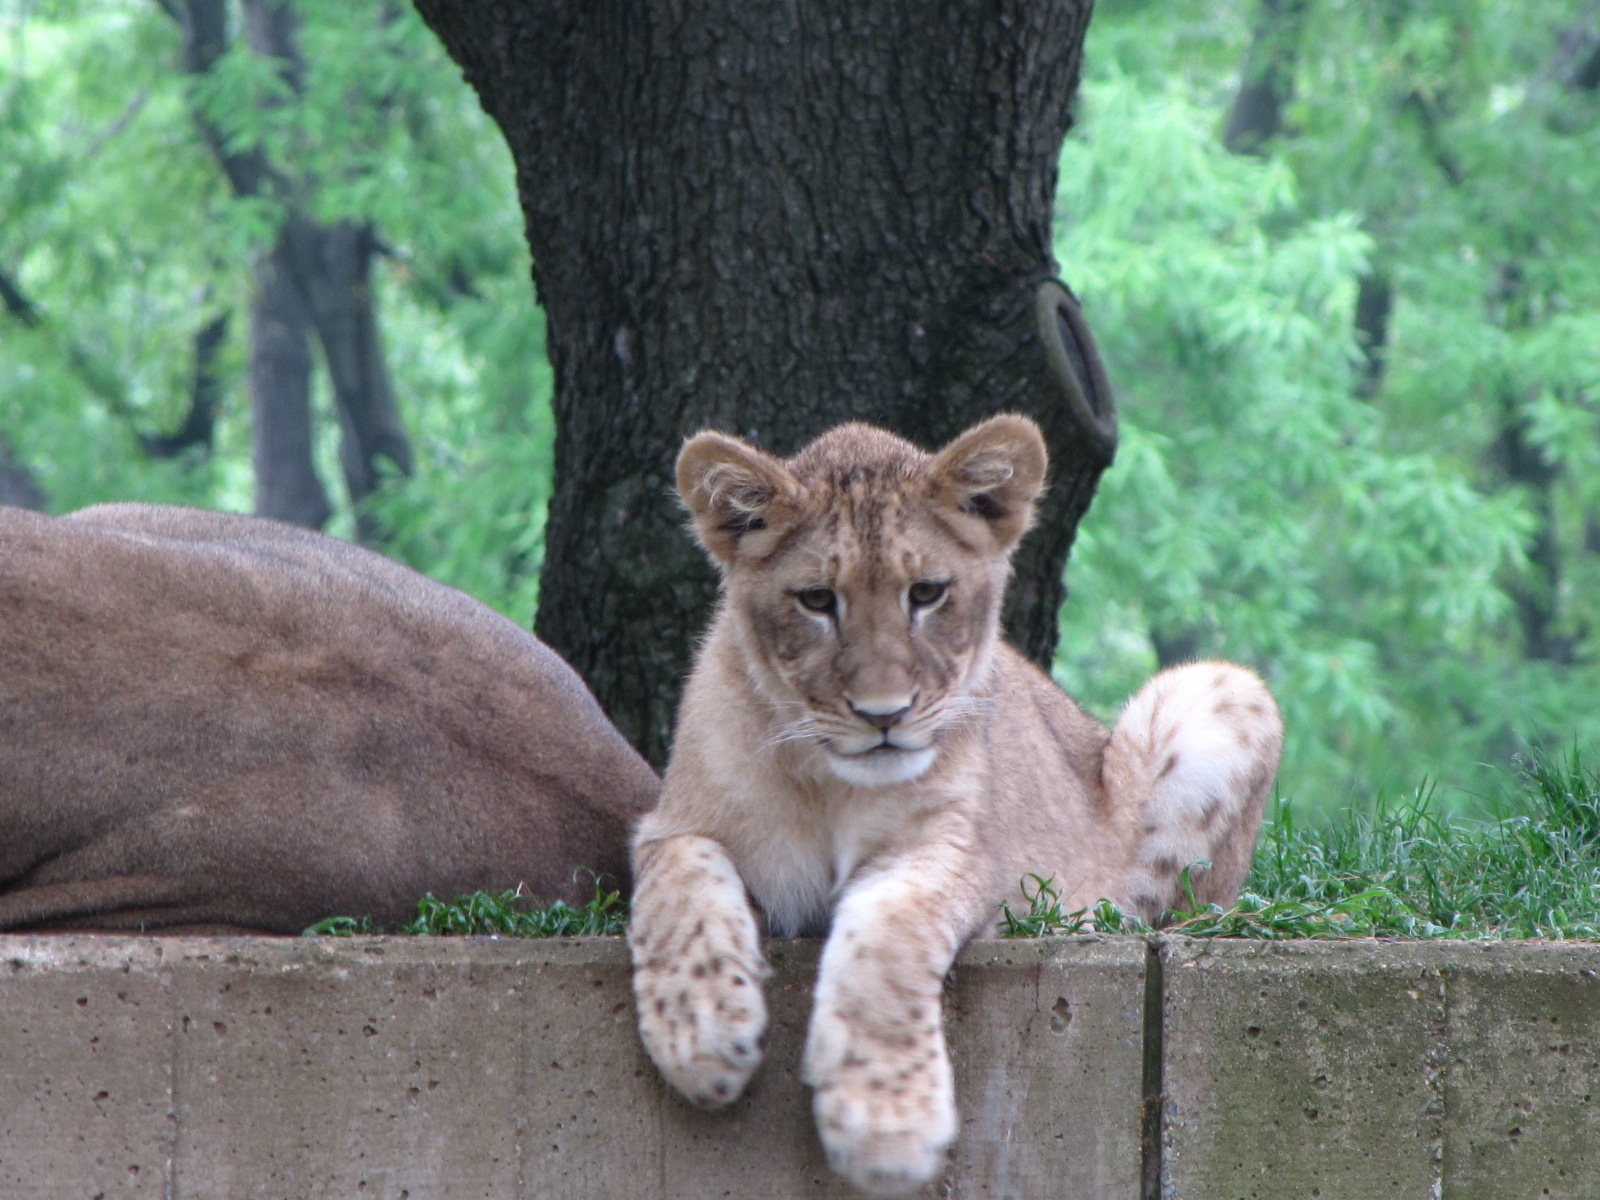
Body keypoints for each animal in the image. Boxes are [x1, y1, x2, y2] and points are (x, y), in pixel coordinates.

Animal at [627, 415, 1283, 1195]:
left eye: (927, 593)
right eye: (816, 600)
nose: (884, 715)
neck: (828, 784)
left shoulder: (957, 853)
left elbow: (883, 940)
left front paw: (885, 1123)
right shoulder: (668, 824)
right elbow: (681, 886)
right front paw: (700, 1032)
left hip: (1221, 690)